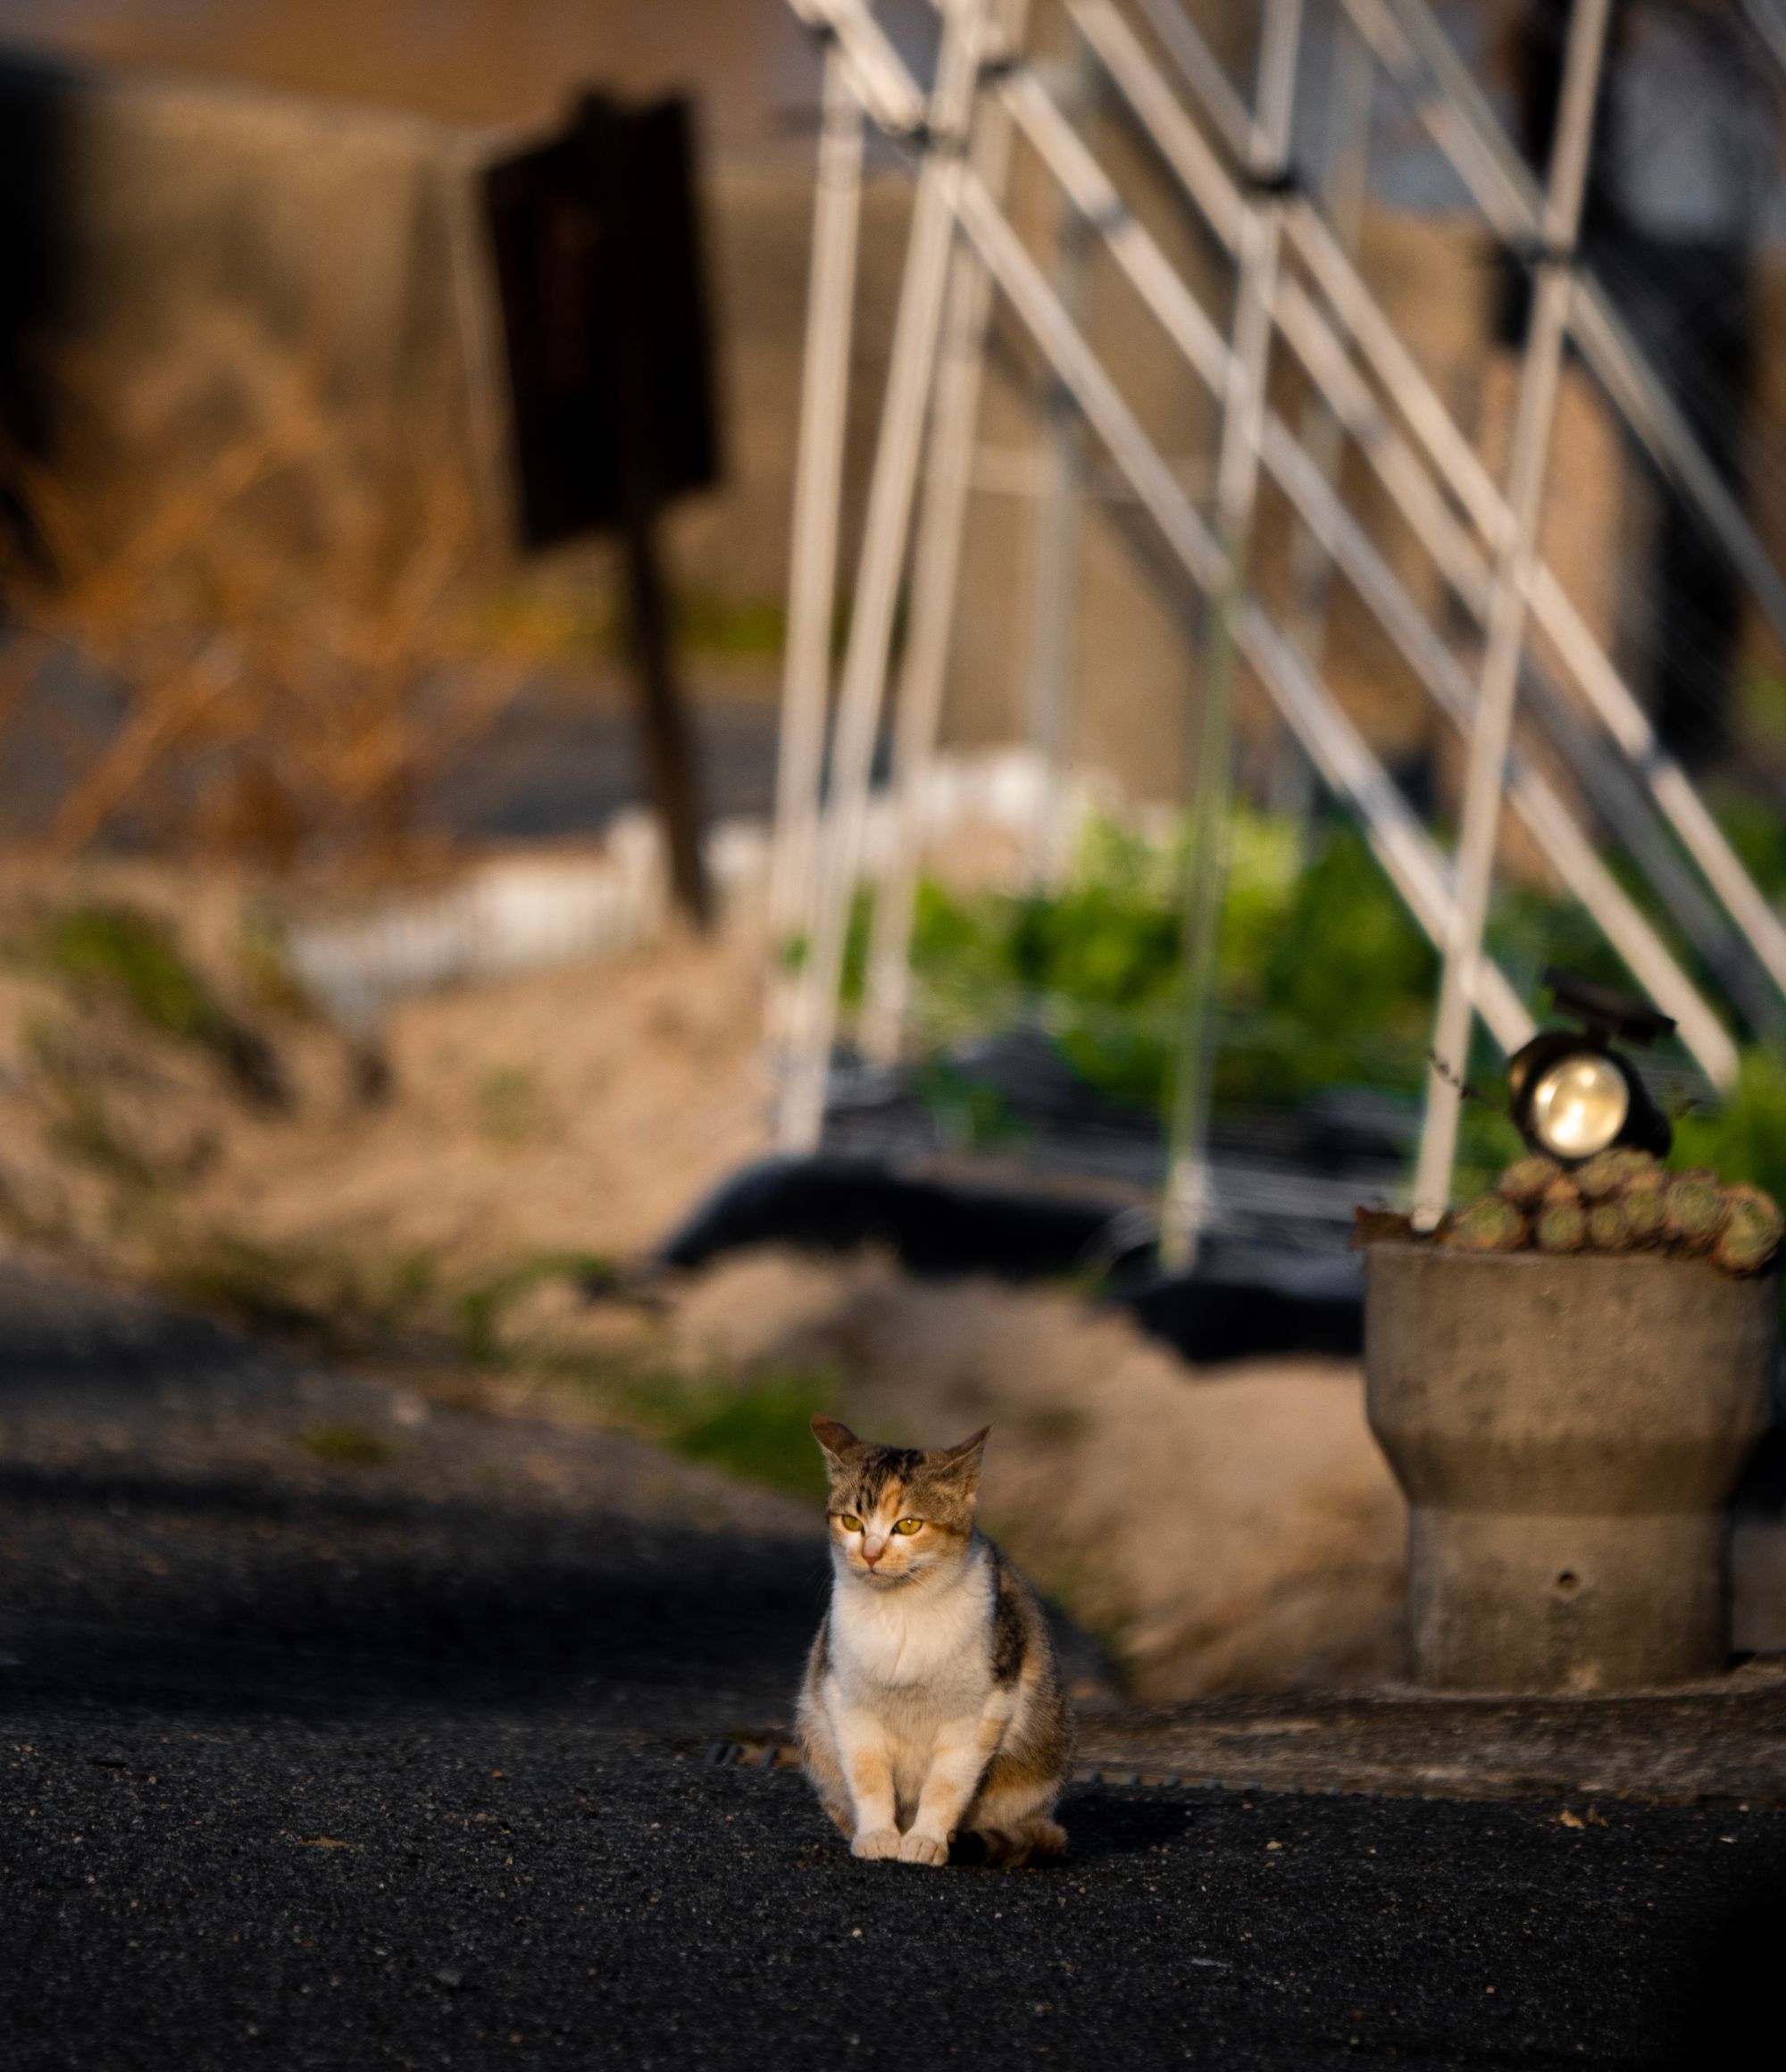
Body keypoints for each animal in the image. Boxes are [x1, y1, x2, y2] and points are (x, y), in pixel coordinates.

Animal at [799, 1416, 1077, 1873]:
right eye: (852, 1522)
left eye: (909, 1525)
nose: (870, 1554)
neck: (901, 1615)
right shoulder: (846, 1699)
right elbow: (868, 1776)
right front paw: (877, 1836)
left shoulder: (980, 1711)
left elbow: (946, 1785)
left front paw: (926, 1841)